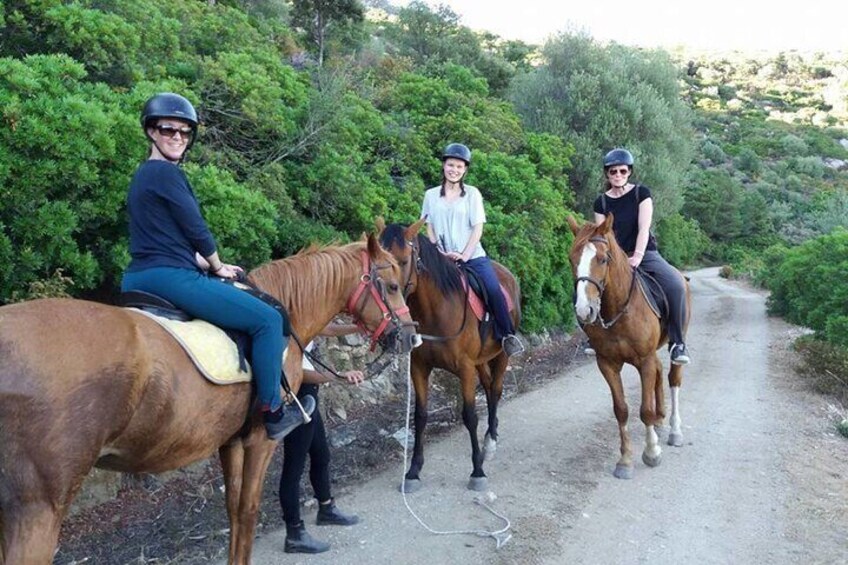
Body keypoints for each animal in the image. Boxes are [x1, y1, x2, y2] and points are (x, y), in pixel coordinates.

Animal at [0, 231, 418, 560]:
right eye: (392, 286)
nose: (411, 335)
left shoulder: (229, 441)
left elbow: (232, 511)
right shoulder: (260, 440)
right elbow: (248, 511)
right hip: (37, 511)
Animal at [380, 218, 524, 492]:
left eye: (402, 261)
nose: (389, 303)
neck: (438, 311)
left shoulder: (465, 369)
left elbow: (469, 416)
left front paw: (478, 471)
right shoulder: (419, 367)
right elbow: (420, 416)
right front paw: (413, 471)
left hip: (501, 354)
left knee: (496, 389)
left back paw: (491, 441)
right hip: (481, 360)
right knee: (488, 386)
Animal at [568, 214, 688, 478]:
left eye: (602, 259)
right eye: (572, 259)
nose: (584, 310)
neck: (619, 309)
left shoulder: (644, 359)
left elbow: (644, 409)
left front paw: (651, 452)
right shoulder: (607, 364)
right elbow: (621, 409)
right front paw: (625, 460)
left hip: (675, 342)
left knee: (673, 379)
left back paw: (675, 431)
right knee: (659, 372)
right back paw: (661, 421)